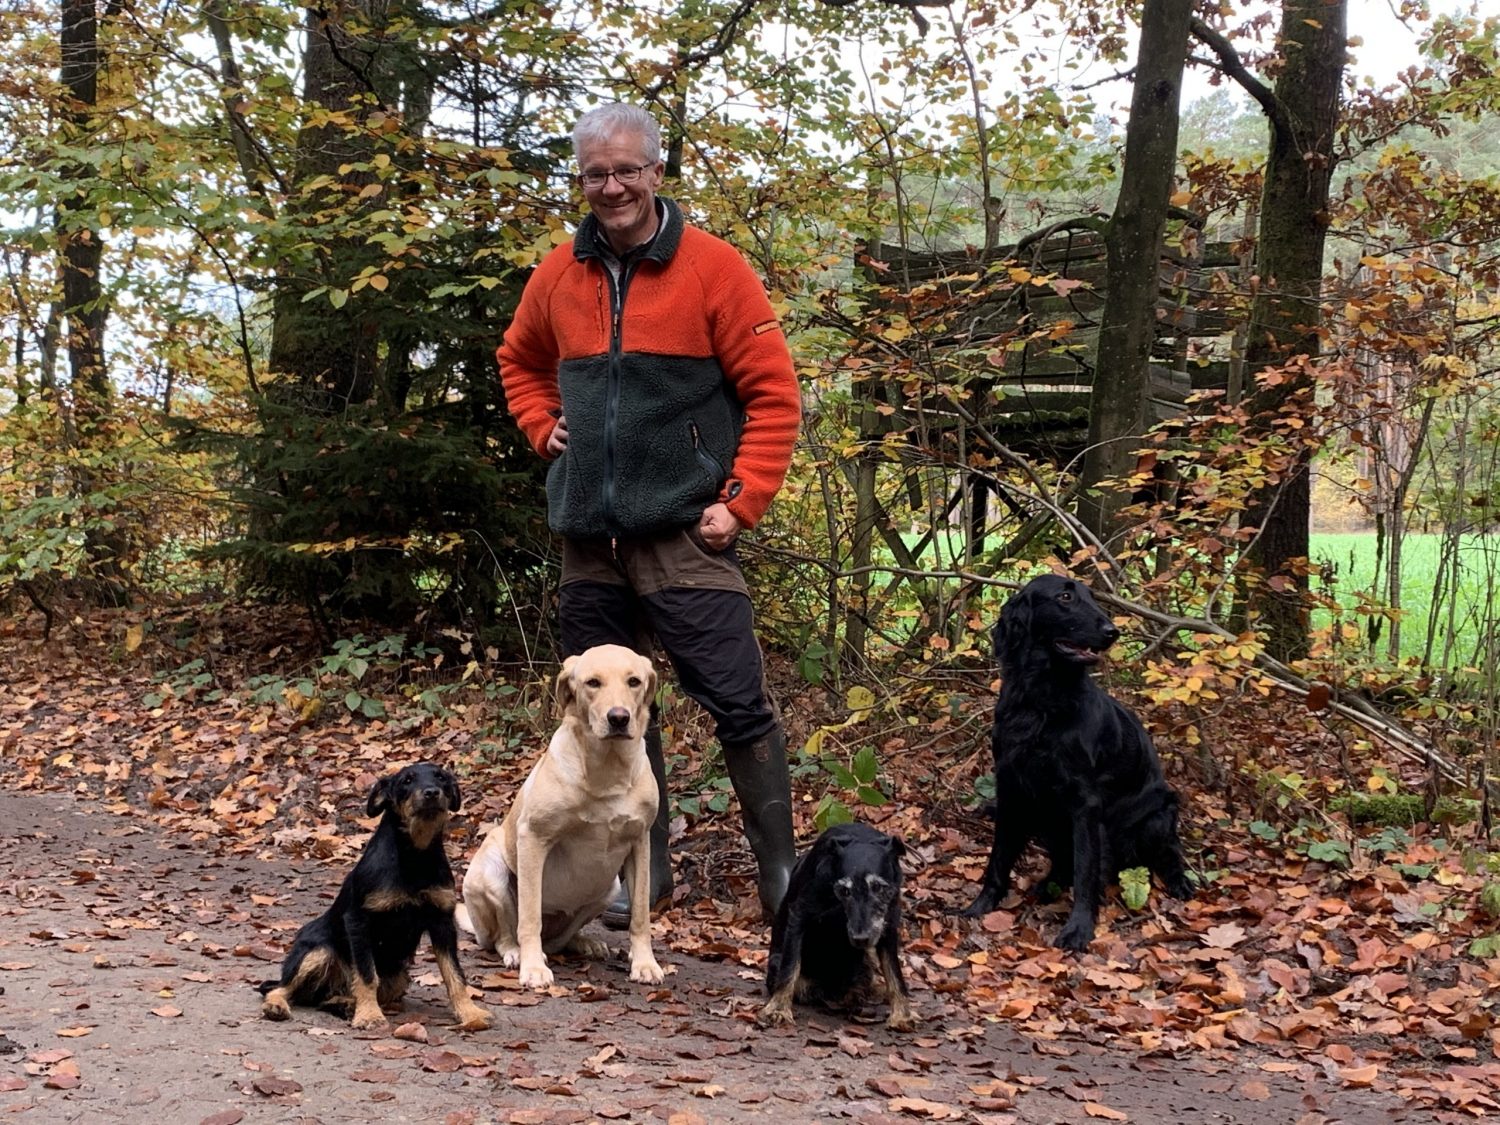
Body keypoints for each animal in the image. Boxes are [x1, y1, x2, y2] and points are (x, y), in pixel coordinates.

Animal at [259, 762, 492, 1038]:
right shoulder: (359, 921)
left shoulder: (442, 923)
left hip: (399, 975)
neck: (415, 856)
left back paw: (345, 1003)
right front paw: (369, 1015)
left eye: (441, 778)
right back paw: (277, 1005)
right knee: (281, 988)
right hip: (317, 951)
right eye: (406, 780)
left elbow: (455, 975)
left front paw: (470, 1013)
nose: (432, 793)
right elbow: (367, 975)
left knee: (335, 997)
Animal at [762, 822, 912, 1038]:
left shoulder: (888, 927)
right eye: (845, 890)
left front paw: (902, 1015)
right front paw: (778, 1009)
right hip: (776, 961)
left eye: (878, 887)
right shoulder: (799, 916)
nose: (860, 938)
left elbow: (895, 973)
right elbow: (790, 968)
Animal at [966, 576, 1188, 954]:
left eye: (1090, 596)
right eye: (1066, 596)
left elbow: (1085, 871)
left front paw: (1079, 929)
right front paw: (981, 904)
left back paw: (1181, 882)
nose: (1113, 631)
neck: (1041, 700)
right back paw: (1047, 884)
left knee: (1168, 853)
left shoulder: (1085, 803)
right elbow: (998, 857)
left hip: (1157, 816)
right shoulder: (1010, 787)